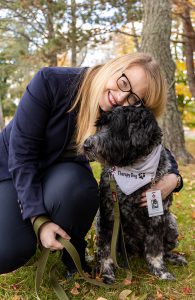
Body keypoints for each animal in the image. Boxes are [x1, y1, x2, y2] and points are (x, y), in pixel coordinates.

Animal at [83, 106, 187, 284]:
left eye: (114, 126)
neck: (134, 167)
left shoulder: (157, 217)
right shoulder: (107, 216)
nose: (86, 145)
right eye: (99, 126)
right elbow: (105, 249)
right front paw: (106, 272)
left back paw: (174, 257)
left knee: (163, 249)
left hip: (171, 224)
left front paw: (160, 271)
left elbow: (155, 249)